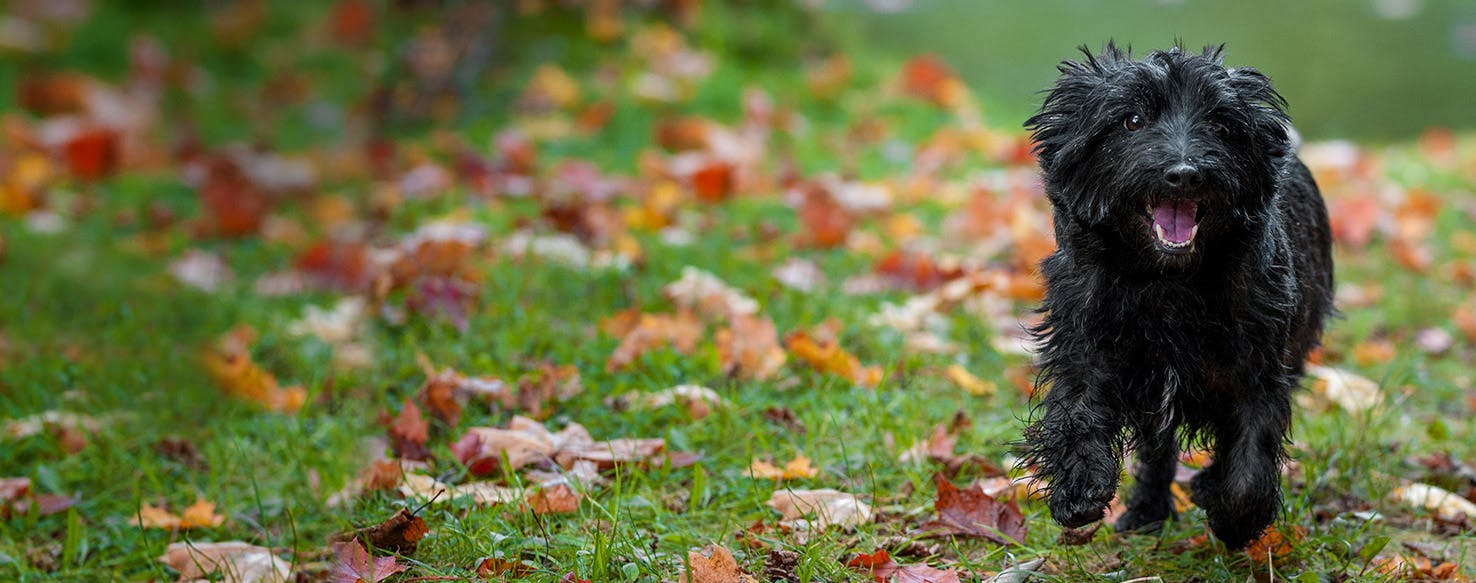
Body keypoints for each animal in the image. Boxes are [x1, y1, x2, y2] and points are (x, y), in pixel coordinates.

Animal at [1021, 43, 1334, 549]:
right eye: (1131, 120)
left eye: (1221, 125)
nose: (1185, 174)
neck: (1167, 282)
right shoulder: (1087, 345)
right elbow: (1077, 413)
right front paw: (1078, 486)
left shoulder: (1259, 369)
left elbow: (1250, 462)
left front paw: (1233, 518)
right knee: (1156, 450)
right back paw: (1146, 511)